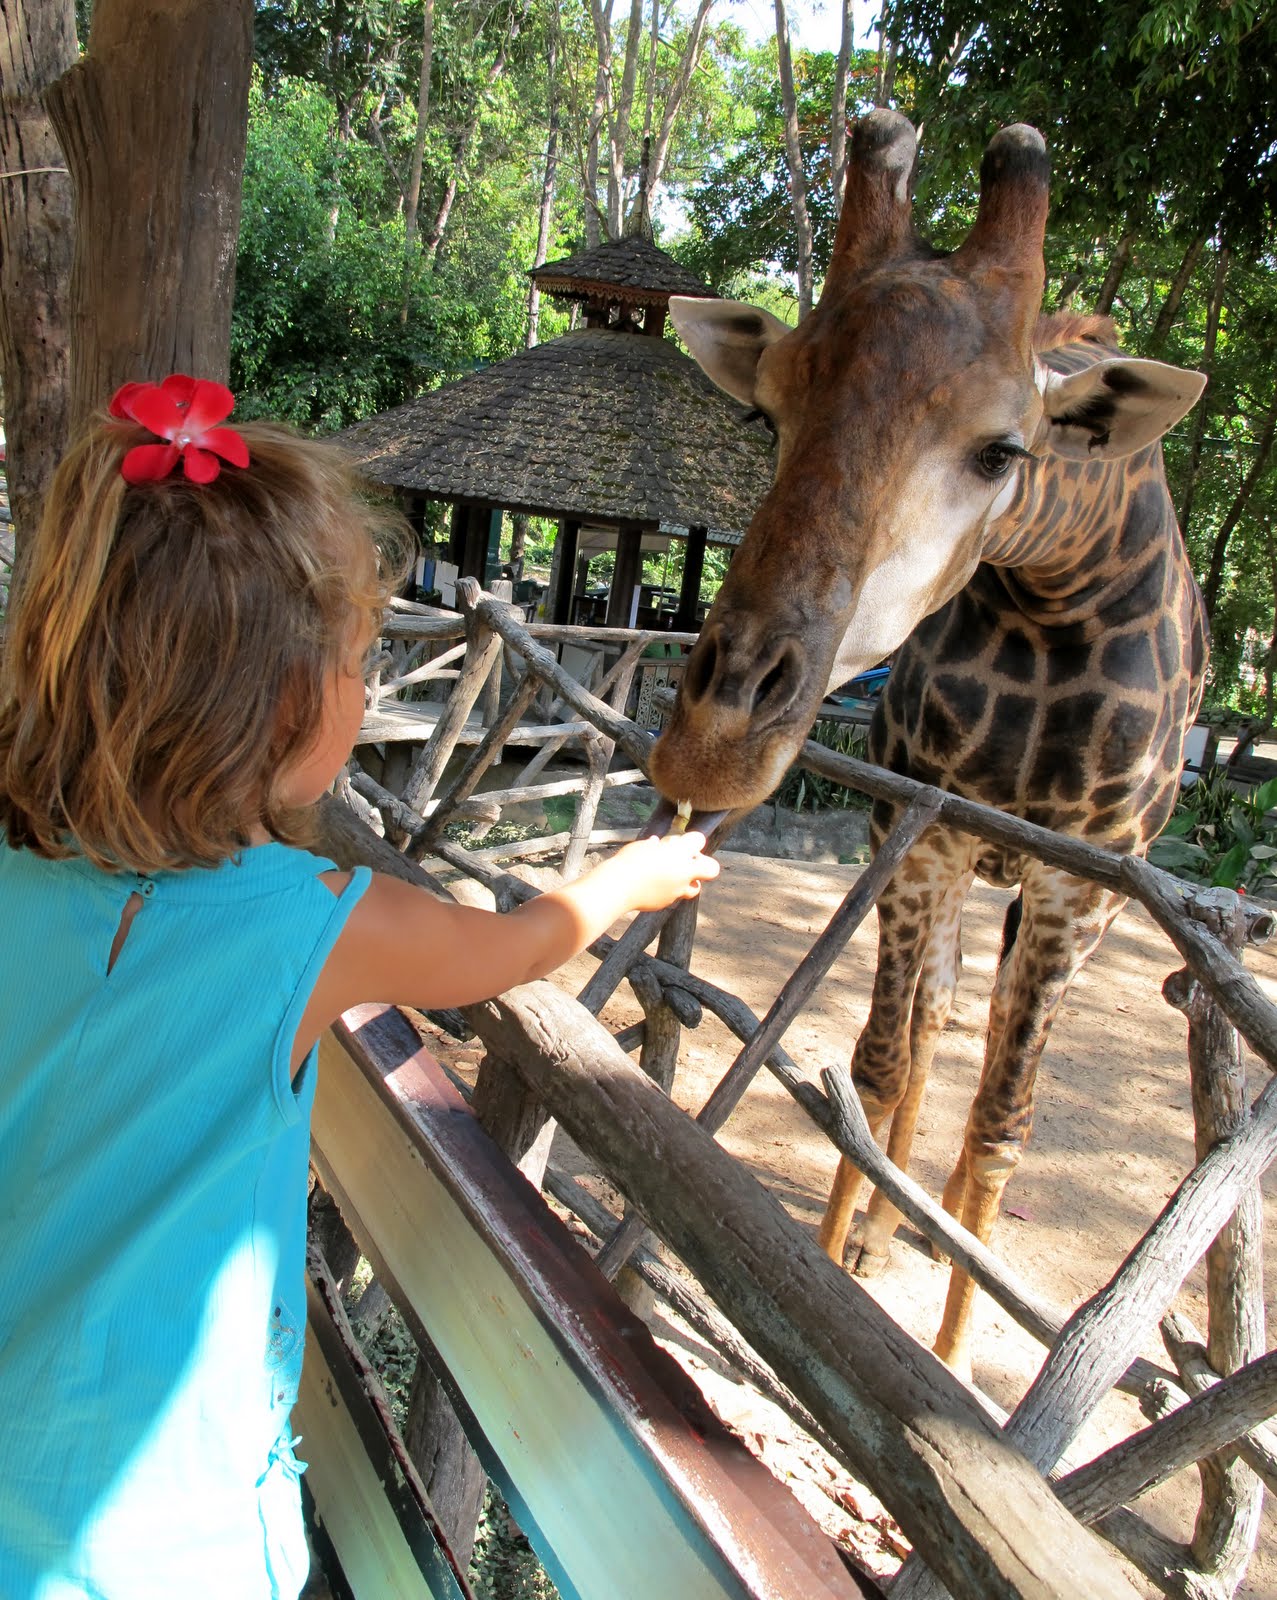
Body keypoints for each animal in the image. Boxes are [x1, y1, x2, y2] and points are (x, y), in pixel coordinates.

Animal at [648, 111, 1208, 1377]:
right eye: (767, 411)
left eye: (1001, 451)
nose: (709, 741)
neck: (1055, 590)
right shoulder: (920, 830)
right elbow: (878, 1058)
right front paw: (826, 1268)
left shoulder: (1074, 890)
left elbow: (1003, 1121)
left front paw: (951, 1365)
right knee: (939, 1018)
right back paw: (883, 1230)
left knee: (990, 1058)